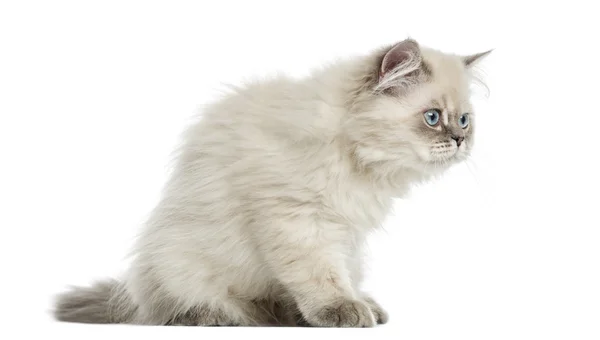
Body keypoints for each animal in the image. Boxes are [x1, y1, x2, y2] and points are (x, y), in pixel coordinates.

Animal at [54, 37, 490, 326]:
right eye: (432, 118)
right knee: (179, 307)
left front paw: (356, 304)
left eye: (464, 120)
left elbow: (340, 274)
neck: (355, 159)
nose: (460, 141)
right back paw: (220, 317)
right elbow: (321, 276)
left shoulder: (345, 235)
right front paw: (342, 310)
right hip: (180, 263)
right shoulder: (297, 220)